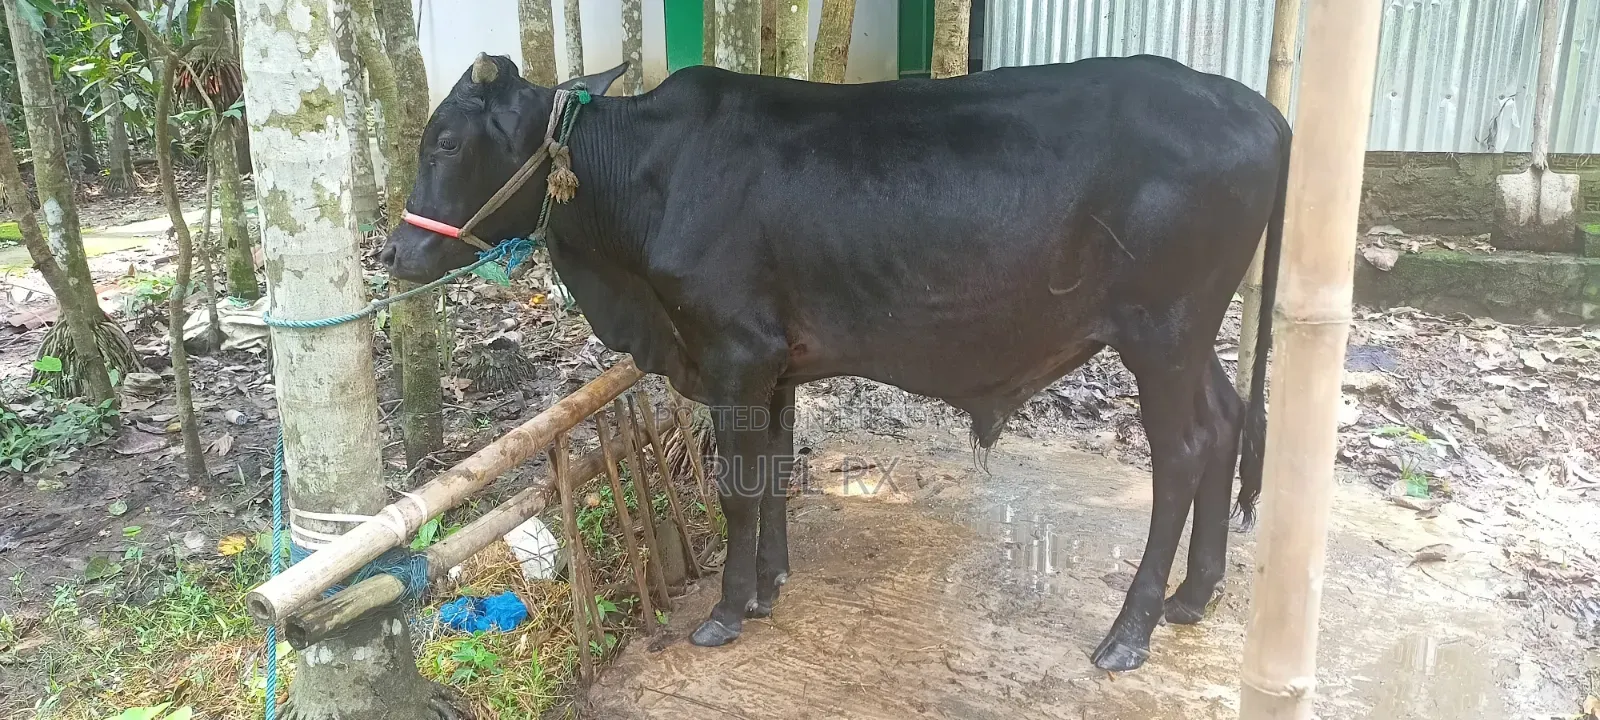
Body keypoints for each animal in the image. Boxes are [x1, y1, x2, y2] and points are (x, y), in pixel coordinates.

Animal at [381, 52, 1288, 672]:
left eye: (447, 140)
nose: (393, 253)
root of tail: (1261, 112)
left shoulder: (734, 352)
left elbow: (737, 489)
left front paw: (727, 610)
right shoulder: (776, 362)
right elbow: (774, 473)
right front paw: (770, 583)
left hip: (1161, 331)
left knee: (1184, 454)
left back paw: (1129, 631)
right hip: (1188, 336)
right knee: (1227, 423)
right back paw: (1195, 596)